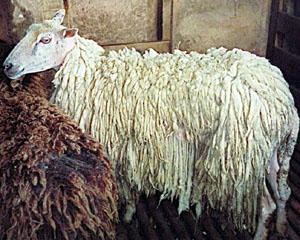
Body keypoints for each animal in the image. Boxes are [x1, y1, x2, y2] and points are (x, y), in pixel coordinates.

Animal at [3, 8, 298, 238]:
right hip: (269, 153)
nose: (7, 66)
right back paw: (282, 226)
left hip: (244, 158)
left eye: (45, 39)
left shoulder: (118, 145)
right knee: (283, 192)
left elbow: (127, 187)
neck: (91, 71)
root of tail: (282, 95)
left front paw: (128, 215)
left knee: (266, 204)